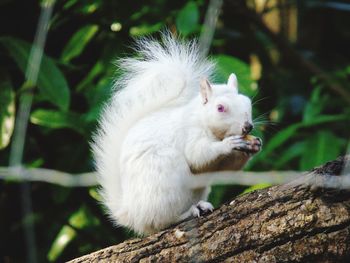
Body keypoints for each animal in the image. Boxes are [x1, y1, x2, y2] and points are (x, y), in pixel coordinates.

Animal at [91, 34, 262, 235]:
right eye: (220, 108)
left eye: (247, 102)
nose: (248, 127)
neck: (204, 122)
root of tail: (132, 214)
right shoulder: (190, 134)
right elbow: (197, 156)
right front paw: (229, 144)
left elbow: (224, 168)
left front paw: (254, 145)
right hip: (165, 183)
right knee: (160, 222)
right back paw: (187, 213)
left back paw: (201, 205)